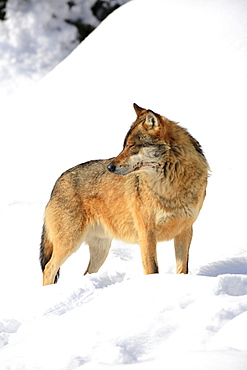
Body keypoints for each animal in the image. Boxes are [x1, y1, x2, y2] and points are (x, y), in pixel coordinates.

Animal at [40, 104, 208, 286]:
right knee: (49, 268)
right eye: (124, 145)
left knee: (84, 273)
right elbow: (153, 269)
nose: (110, 167)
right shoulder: (146, 234)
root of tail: (57, 183)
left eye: (131, 146)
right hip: (70, 244)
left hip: (101, 250)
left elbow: (182, 269)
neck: (169, 186)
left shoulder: (185, 231)